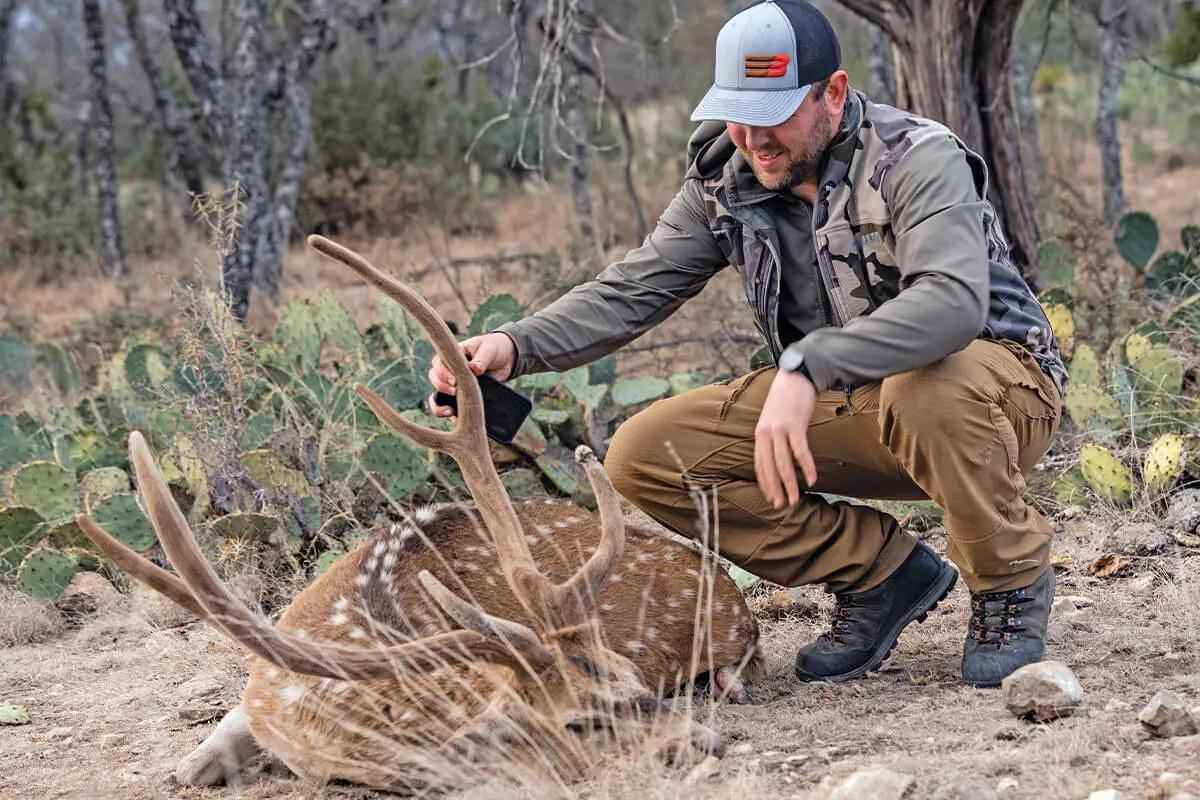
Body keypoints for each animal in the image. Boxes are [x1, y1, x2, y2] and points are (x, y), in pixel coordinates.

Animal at [74, 235, 763, 793]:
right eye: (578, 722)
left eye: (634, 679)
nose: (707, 741)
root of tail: (735, 602)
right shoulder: (259, 693)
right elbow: (189, 764)